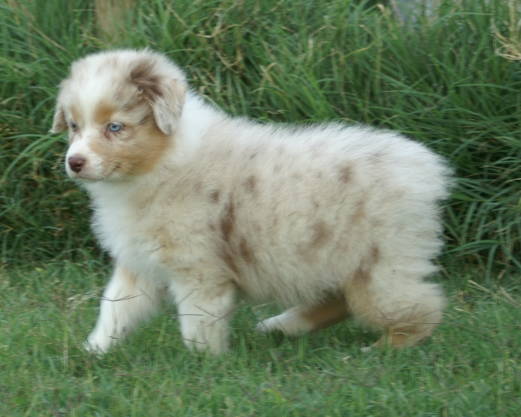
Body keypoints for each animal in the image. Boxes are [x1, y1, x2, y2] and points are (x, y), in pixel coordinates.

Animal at [51, 49, 450, 354]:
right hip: (337, 260)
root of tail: (424, 168)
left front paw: (203, 364)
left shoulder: (199, 269)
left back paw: (382, 349)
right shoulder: (139, 262)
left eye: (115, 127)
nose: (75, 162)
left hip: (378, 264)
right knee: (338, 301)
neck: (162, 162)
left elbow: (198, 321)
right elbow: (116, 308)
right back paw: (280, 326)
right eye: (73, 126)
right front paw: (93, 351)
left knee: (423, 307)